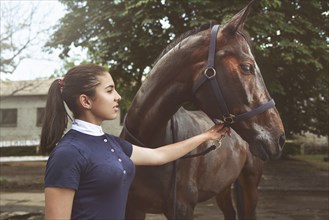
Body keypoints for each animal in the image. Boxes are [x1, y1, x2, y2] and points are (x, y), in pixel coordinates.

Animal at [120, 1, 284, 218]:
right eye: (247, 67)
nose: (279, 137)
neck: (151, 147)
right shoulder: (133, 208)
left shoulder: (182, 209)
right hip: (223, 188)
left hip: (250, 185)